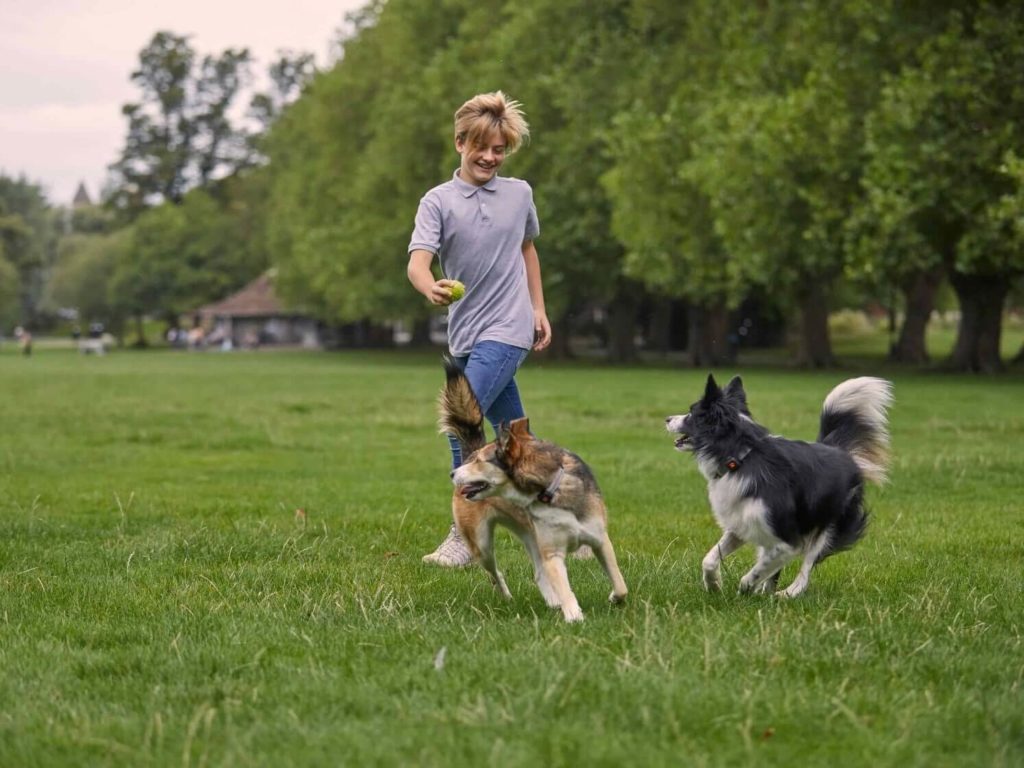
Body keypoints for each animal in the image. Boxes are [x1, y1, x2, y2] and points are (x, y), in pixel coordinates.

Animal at [438, 358, 626, 622]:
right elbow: (564, 586)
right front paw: (574, 616)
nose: (453, 474)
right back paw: (509, 596)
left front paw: (614, 599)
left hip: (530, 535)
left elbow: (620, 583)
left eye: (479, 462)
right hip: (482, 544)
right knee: (495, 572)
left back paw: (552, 602)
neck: (550, 490)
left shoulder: (600, 540)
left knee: (538, 573)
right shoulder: (552, 553)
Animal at [667, 376, 892, 598]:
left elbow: (754, 574)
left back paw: (786, 594)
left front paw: (746, 592)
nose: (667, 419)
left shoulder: (788, 540)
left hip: (829, 526)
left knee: (805, 571)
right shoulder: (742, 525)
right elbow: (709, 559)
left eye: (691, 413)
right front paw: (714, 585)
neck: (740, 458)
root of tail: (839, 450)